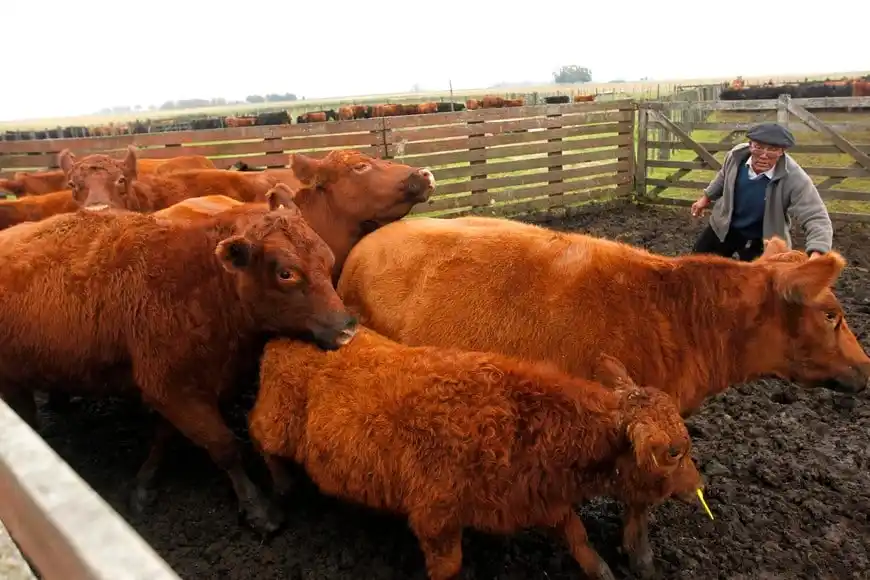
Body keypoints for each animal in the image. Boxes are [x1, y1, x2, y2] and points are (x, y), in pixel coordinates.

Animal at [0, 184, 358, 533]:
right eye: (286, 273)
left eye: (328, 258)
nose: (346, 328)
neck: (197, 283)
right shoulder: (173, 390)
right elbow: (224, 446)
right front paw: (257, 507)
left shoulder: (178, 391)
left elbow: (164, 436)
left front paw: (144, 483)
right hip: (12, 384)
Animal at [249, 329, 710, 580]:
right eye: (674, 451)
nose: (698, 487)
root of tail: (282, 337)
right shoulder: (434, 518)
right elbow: (449, 566)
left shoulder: (536, 498)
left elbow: (576, 533)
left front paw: (601, 569)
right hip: (274, 423)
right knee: (259, 440)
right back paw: (282, 490)